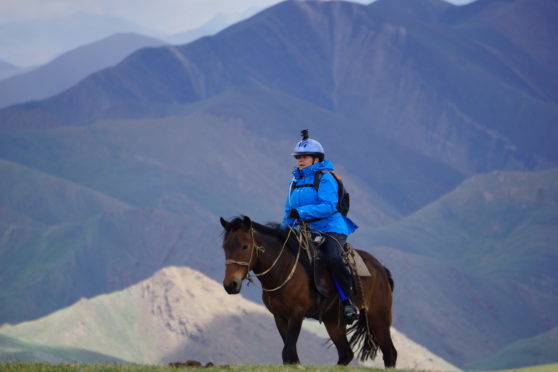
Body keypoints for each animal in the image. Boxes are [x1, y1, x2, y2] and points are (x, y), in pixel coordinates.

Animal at [219, 215, 398, 366]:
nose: (230, 285)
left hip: (378, 317)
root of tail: (381, 269)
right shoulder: (279, 316)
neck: (284, 268)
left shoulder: (297, 313)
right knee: (346, 354)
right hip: (333, 321)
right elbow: (290, 356)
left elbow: (288, 352)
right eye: (225, 247)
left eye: (244, 246)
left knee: (390, 353)